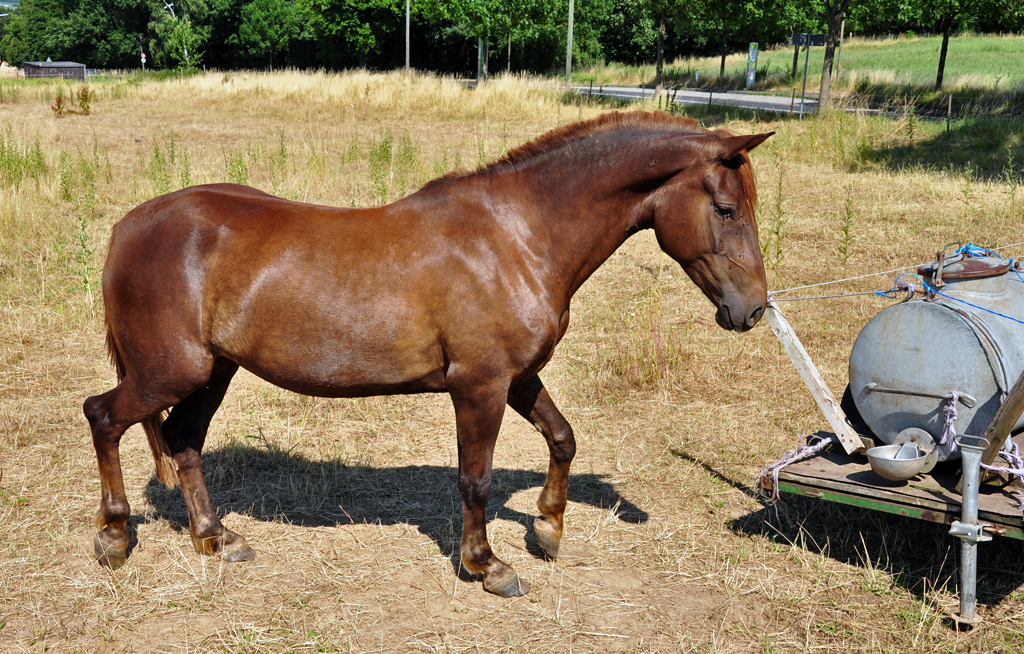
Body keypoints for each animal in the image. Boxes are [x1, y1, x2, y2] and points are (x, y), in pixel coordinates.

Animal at [86, 111, 770, 597]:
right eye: (726, 209)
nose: (754, 310)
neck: (515, 236)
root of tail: (128, 228)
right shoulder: (479, 386)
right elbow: (475, 479)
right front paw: (487, 565)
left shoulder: (518, 378)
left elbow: (562, 437)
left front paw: (548, 528)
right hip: (171, 372)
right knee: (104, 417)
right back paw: (115, 537)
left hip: (212, 373)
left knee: (184, 442)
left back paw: (216, 538)